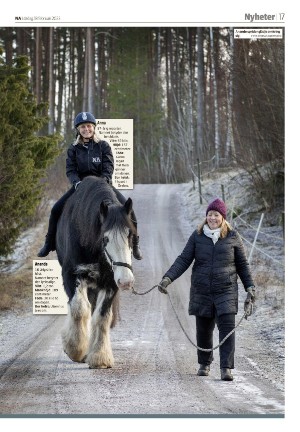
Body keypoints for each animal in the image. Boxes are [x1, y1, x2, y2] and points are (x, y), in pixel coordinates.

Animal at [55, 176, 135, 368]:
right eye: (105, 238)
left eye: (130, 235)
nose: (126, 282)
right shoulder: (72, 276)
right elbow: (79, 309)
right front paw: (75, 349)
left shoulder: (110, 282)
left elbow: (102, 317)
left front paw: (100, 357)